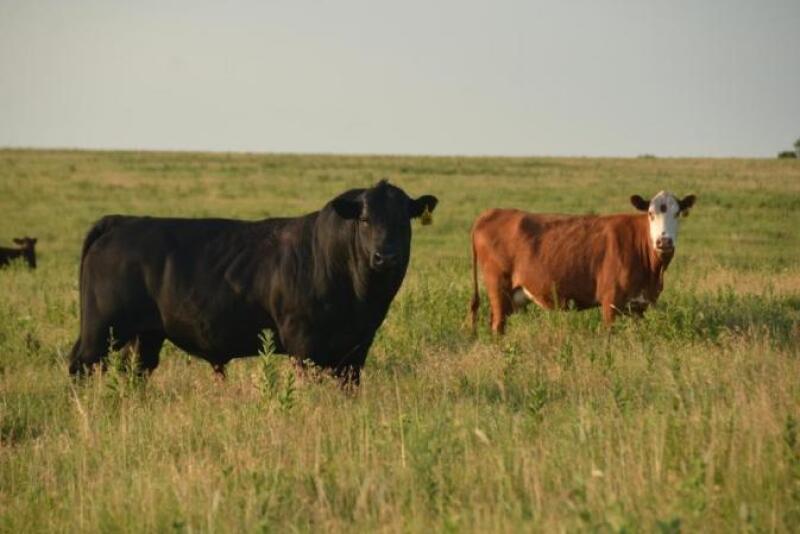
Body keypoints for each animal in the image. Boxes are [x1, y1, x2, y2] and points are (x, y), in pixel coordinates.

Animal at [68, 180, 438, 385]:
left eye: (403, 220)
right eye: (364, 219)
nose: (385, 256)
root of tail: (121, 222)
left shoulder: (356, 349)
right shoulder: (304, 344)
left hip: (145, 335)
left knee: (135, 372)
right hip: (101, 329)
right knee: (80, 366)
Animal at [469, 191, 696, 333]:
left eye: (677, 213)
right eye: (650, 213)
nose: (664, 241)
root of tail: (491, 212)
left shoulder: (640, 306)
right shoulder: (610, 301)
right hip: (498, 287)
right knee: (498, 325)